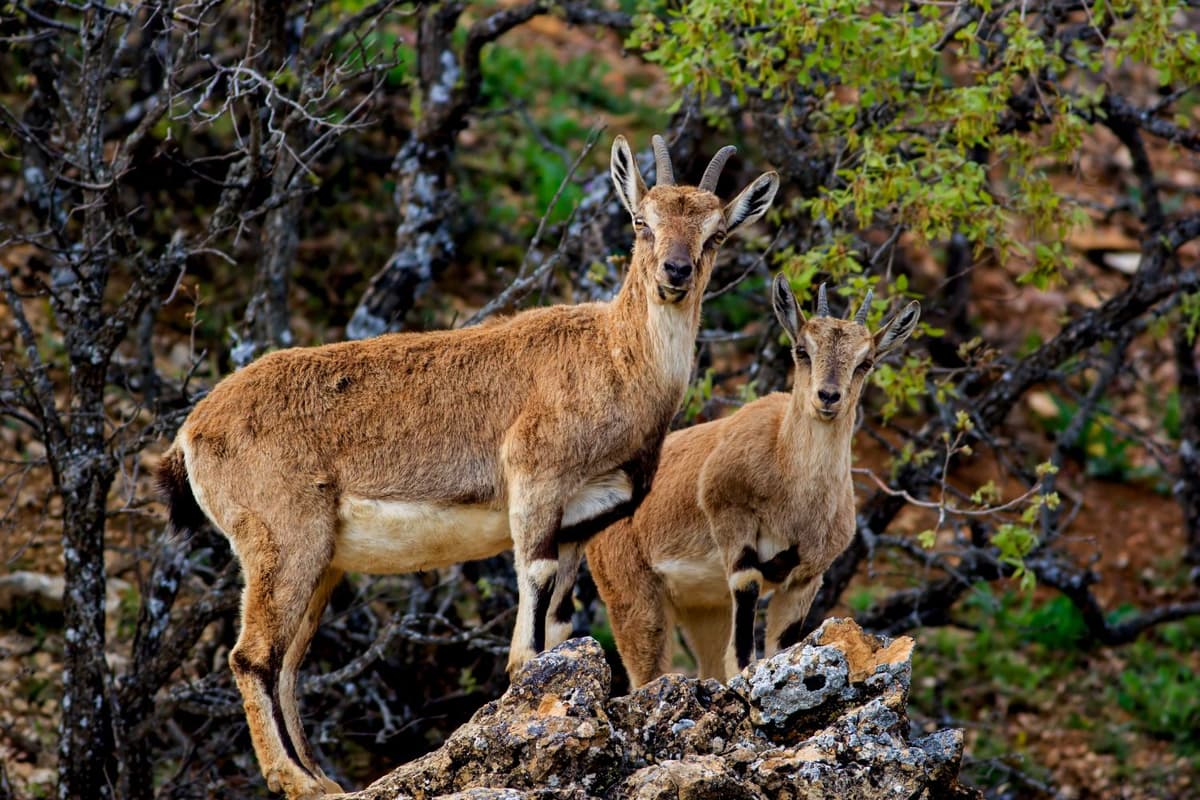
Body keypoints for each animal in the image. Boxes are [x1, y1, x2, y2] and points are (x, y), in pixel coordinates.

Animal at [157, 134, 779, 798]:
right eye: (642, 222)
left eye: (716, 233)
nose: (675, 273)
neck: (616, 361)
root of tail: (193, 432)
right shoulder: (534, 484)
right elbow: (528, 634)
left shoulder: (577, 525)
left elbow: (559, 625)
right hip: (285, 539)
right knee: (252, 658)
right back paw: (296, 782)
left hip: (320, 561)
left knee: (288, 665)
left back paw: (322, 778)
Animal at [586, 276, 920, 687]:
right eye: (802, 349)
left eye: (866, 361)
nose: (828, 397)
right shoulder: (738, 543)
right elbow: (743, 653)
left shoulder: (806, 578)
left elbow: (780, 648)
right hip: (634, 598)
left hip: (703, 608)